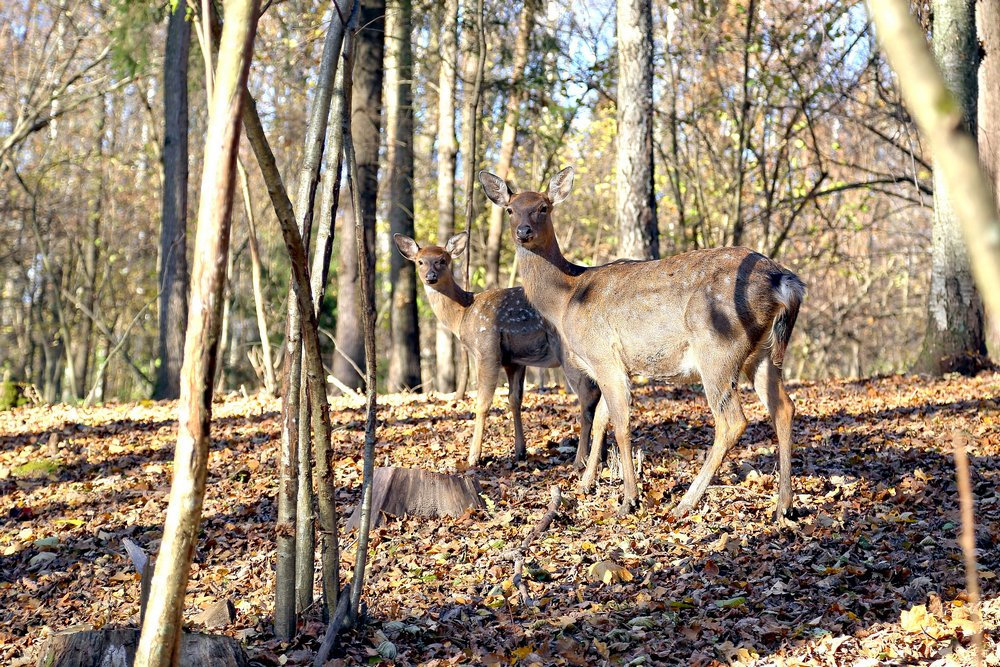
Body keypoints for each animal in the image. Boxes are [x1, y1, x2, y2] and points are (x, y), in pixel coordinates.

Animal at [392, 235, 600, 470]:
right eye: (420, 261)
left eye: (442, 260)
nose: (430, 277)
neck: (463, 314)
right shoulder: (515, 360)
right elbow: (514, 399)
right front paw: (520, 451)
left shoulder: (487, 348)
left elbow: (482, 403)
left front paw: (473, 456)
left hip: (569, 354)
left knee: (588, 396)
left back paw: (581, 460)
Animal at [480, 168, 808, 520]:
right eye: (510, 209)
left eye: (543, 207)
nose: (523, 232)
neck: (565, 297)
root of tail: (783, 281)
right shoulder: (616, 364)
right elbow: (602, 419)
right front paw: (586, 484)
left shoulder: (603, 354)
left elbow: (621, 423)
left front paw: (628, 499)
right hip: (759, 353)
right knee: (784, 407)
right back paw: (784, 506)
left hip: (718, 345)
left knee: (732, 421)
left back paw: (686, 502)